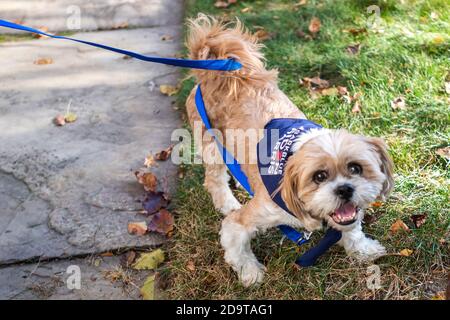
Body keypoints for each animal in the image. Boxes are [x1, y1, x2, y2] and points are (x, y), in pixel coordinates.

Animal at [185, 13, 392, 286]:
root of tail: (216, 74)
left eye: (355, 168)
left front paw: (361, 248)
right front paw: (250, 272)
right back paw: (227, 201)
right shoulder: (252, 217)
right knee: (215, 179)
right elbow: (236, 242)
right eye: (319, 176)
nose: (345, 189)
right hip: (211, 144)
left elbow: (351, 228)